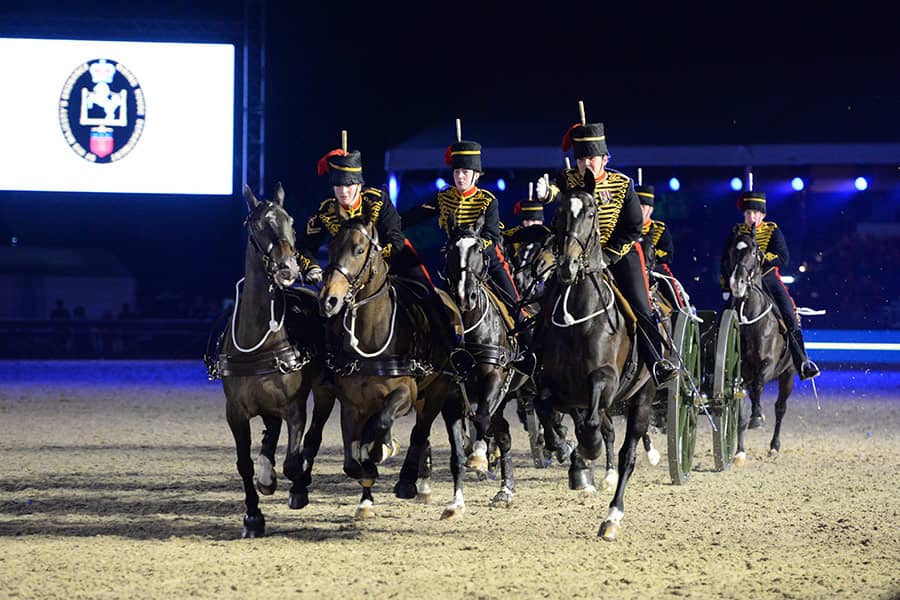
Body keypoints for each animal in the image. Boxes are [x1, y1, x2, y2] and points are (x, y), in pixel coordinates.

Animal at [211, 183, 335, 538]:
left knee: (313, 436)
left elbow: (294, 459)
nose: (288, 269)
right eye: (257, 224)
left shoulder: (294, 406)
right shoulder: (236, 412)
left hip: (324, 391)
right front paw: (253, 516)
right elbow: (244, 463)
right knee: (271, 431)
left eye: (290, 222)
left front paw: (297, 487)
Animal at [318, 214, 469, 520]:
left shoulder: (406, 393)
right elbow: (352, 459)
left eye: (359, 250)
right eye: (331, 247)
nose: (329, 300)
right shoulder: (352, 404)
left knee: (421, 431)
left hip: (438, 391)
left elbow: (384, 423)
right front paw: (366, 489)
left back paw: (417, 484)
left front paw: (383, 451)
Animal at [444, 214, 535, 506]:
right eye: (450, 251)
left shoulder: (494, 380)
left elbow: (481, 420)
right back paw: (506, 488)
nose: (465, 296)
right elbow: (461, 445)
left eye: (479, 250)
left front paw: (479, 457)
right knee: (504, 434)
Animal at [535, 171, 656, 541]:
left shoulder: (605, 379)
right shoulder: (552, 384)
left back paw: (612, 516)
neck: (579, 313)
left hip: (643, 397)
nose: (566, 266)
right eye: (560, 213)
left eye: (591, 213)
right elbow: (544, 408)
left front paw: (587, 448)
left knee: (628, 452)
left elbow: (590, 425)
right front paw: (564, 450)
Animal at [725, 226, 794, 460]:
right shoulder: (739, 373)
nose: (737, 283)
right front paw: (739, 452)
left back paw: (774, 446)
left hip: (788, 374)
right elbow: (739, 414)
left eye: (755, 252)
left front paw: (757, 417)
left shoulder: (768, 363)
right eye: (732, 251)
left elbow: (758, 385)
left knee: (780, 407)